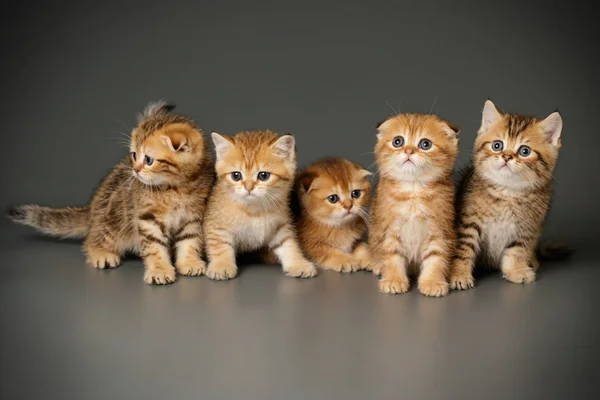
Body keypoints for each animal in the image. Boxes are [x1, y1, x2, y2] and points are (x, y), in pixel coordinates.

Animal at [8, 101, 214, 286]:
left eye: (148, 160)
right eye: (134, 155)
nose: (135, 170)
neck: (175, 188)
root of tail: (92, 210)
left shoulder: (193, 216)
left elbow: (190, 241)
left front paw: (189, 262)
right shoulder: (148, 219)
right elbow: (154, 247)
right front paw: (159, 270)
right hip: (115, 215)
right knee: (93, 239)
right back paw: (101, 253)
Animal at [203, 130, 318, 280]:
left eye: (263, 175)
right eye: (236, 175)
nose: (249, 187)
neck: (254, 210)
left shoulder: (280, 226)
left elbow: (288, 243)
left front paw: (298, 263)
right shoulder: (215, 223)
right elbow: (219, 244)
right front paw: (221, 265)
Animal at [366, 112, 460, 296]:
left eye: (425, 144)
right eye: (398, 141)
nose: (408, 151)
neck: (414, 190)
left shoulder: (439, 228)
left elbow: (436, 256)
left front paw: (432, 282)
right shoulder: (389, 228)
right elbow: (392, 255)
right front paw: (394, 279)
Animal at [450, 99, 568, 288]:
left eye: (524, 151)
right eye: (497, 145)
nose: (506, 156)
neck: (507, 193)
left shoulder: (526, 227)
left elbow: (517, 250)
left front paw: (516, 270)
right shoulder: (468, 221)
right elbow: (463, 248)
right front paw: (459, 274)